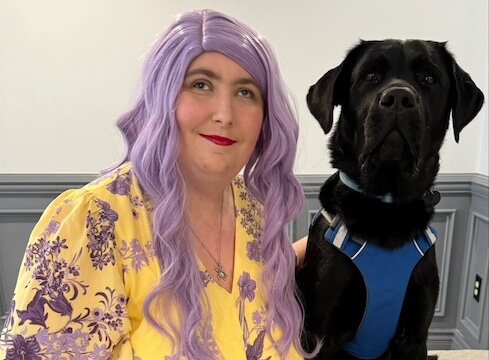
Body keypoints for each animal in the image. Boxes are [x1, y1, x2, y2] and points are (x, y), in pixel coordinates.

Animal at [296, 40, 482, 360]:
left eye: (429, 78)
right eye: (369, 76)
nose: (398, 98)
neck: (385, 207)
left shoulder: (415, 333)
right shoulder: (320, 335)